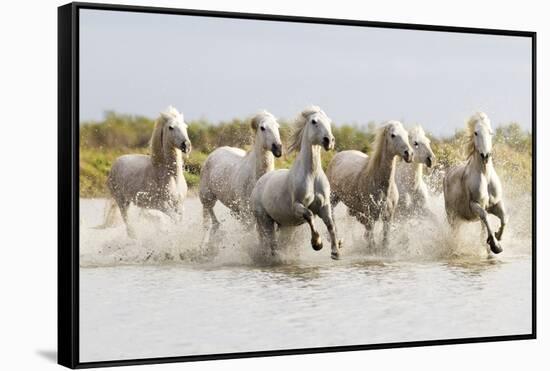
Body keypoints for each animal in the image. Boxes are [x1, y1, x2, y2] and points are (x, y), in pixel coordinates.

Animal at [105, 107, 192, 238]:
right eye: (170, 127)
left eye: (185, 126)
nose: (186, 145)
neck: (169, 176)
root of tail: (115, 162)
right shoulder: (163, 206)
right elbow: (175, 221)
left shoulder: (179, 205)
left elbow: (179, 221)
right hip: (122, 201)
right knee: (128, 225)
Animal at [252, 106, 342, 260]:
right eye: (314, 121)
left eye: (328, 121)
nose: (329, 141)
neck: (312, 175)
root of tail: (260, 181)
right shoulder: (297, 206)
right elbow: (309, 215)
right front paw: (317, 243)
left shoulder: (324, 206)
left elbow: (330, 224)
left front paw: (335, 252)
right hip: (265, 220)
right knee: (270, 242)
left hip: (284, 224)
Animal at [328, 122, 414, 250]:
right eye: (393, 135)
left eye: (406, 134)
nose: (409, 154)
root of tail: (339, 155)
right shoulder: (370, 216)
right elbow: (371, 243)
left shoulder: (388, 217)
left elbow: (384, 241)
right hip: (333, 197)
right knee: (331, 214)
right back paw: (335, 241)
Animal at [444, 112, 508, 254]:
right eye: (476, 133)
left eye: (490, 132)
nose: (486, 155)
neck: (485, 174)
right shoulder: (474, 205)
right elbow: (485, 216)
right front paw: (495, 246)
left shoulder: (495, 204)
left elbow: (504, 218)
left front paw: (497, 238)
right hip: (452, 216)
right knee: (455, 233)